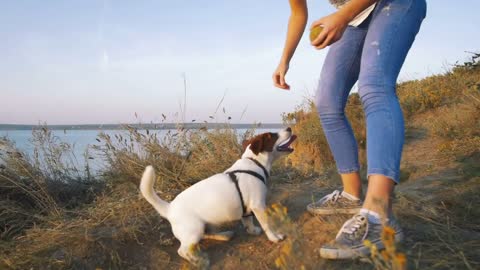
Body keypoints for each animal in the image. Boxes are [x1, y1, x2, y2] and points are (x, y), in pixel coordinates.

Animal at [139, 127, 296, 264]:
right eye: (271, 135)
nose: (289, 128)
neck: (254, 162)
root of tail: (169, 208)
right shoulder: (258, 205)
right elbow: (267, 224)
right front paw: (274, 237)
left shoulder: (248, 208)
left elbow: (248, 220)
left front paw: (252, 230)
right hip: (194, 230)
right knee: (182, 251)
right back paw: (197, 260)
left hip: (204, 225)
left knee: (205, 234)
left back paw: (224, 235)